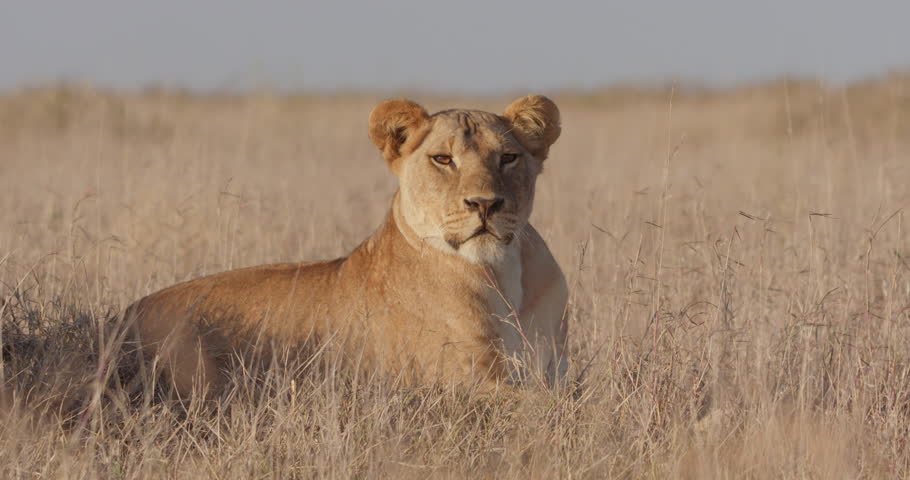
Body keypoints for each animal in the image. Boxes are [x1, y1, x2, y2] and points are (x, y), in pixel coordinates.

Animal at [124, 95, 568, 397]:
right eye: (443, 159)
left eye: (508, 158)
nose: (485, 204)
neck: (502, 272)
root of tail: (124, 313)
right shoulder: (462, 384)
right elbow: (549, 408)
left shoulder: (551, 368)